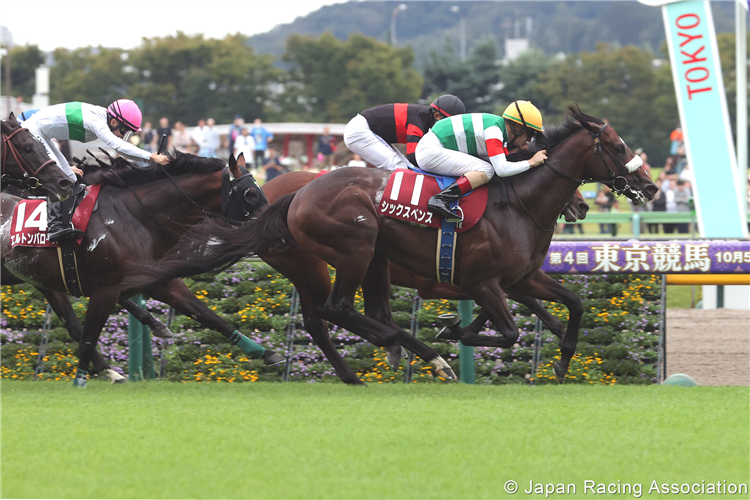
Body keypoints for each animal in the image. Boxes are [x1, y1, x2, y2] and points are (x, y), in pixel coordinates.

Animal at [0, 150, 282, 384]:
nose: (273, 225)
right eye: (250, 194)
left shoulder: (157, 279)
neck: (135, 215)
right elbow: (89, 338)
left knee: (71, 323)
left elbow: (209, 316)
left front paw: (266, 352)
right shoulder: (106, 289)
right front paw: (79, 381)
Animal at [134, 105, 656, 382]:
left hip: (370, 261)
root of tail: (293, 193)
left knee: (349, 315)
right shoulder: (483, 282)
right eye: (617, 147)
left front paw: (562, 364)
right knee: (334, 312)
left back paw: (385, 356)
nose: (650, 187)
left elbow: (571, 307)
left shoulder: (522, 277)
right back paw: (414, 354)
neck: (519, 203)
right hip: (348, 251)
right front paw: (453, 332)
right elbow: (506, 330)